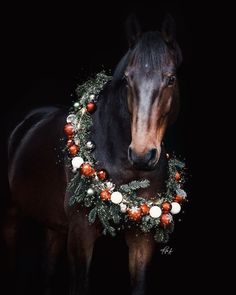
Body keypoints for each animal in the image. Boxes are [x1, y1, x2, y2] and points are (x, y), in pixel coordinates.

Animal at [3, 14, 183, 295]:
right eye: (128, 80)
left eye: (171, 78)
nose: (142, 155)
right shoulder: (80, 236)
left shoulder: (142, 241)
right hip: (12, 215)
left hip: (53, 227)